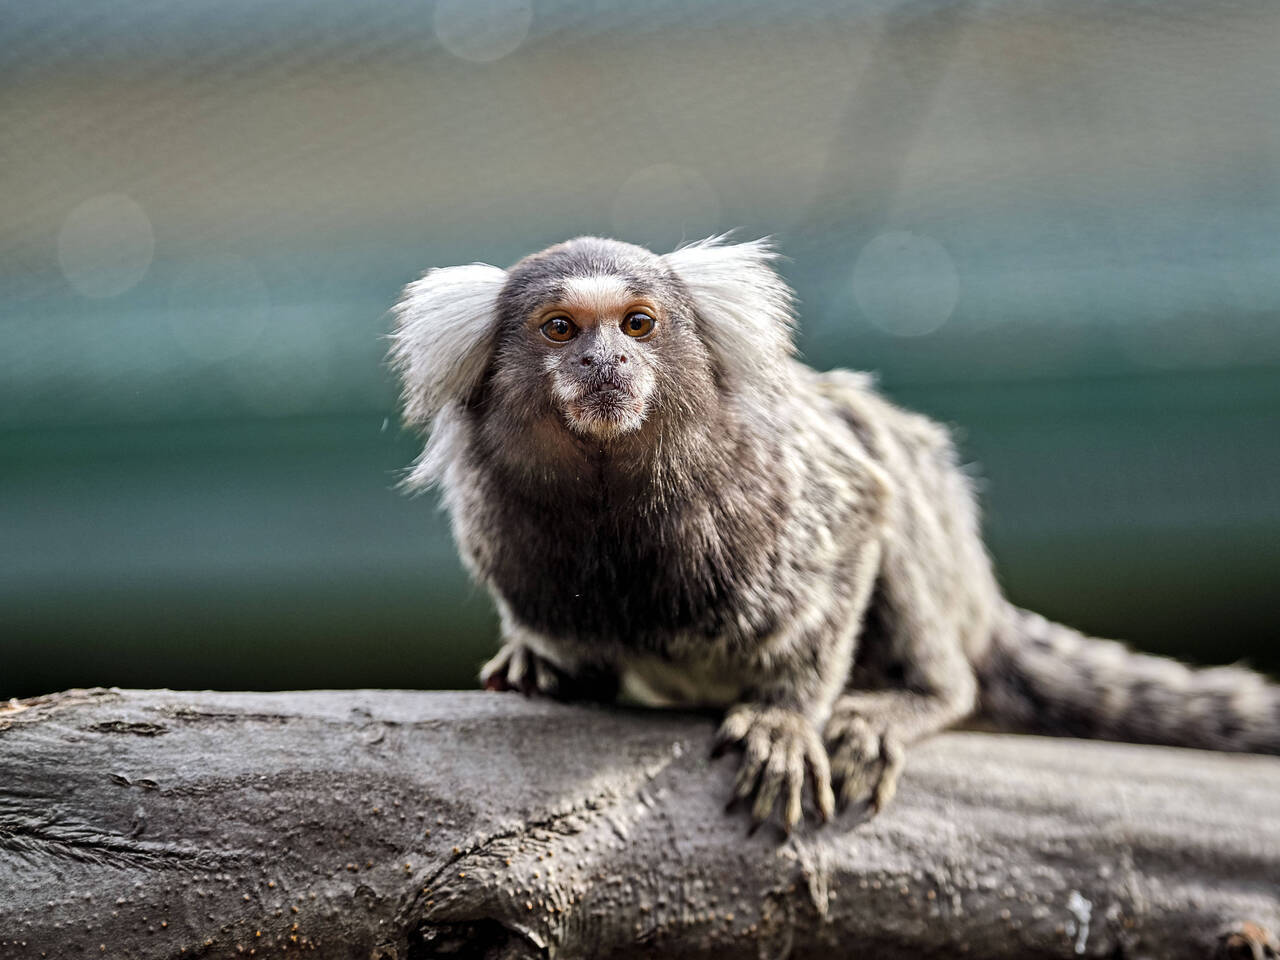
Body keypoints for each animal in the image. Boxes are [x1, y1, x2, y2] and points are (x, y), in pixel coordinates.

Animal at [389, 239, 1280, 834]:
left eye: (638, 325)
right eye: (560, 329)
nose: (605, 364)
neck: (613, 503)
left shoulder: (796, 486)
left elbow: (859, 516)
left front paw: (786, 721)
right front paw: (539, 659)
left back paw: (917, 696)